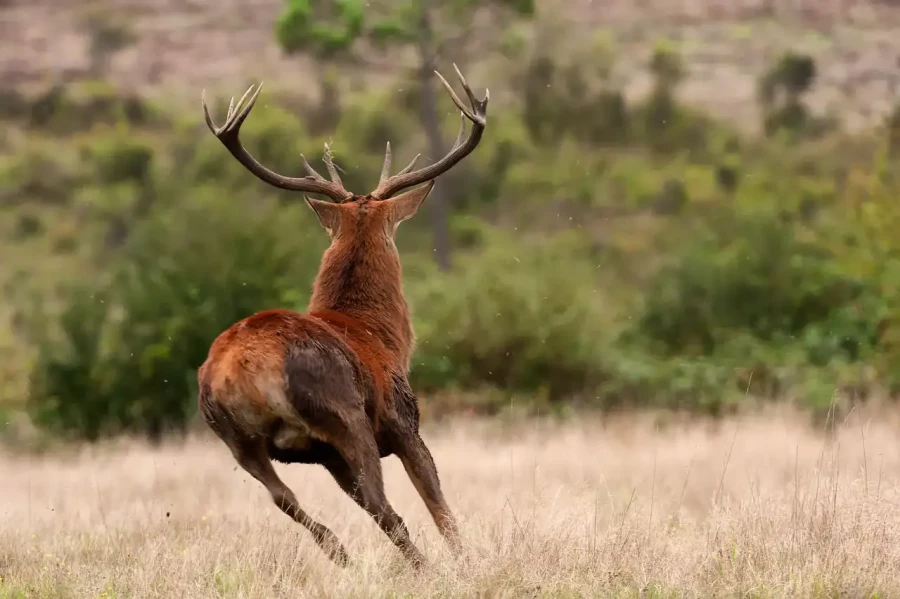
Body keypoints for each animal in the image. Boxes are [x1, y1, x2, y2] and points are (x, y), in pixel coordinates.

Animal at [195, 65, 488, 569]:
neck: (382, 337)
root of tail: (242, 371)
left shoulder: (328, 456)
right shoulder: (403, 421)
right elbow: (440, 507)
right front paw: (468, 563)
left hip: (235, 437)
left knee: (287, 498)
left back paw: (343, 556)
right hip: (343, 413)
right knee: (380, 502)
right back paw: (421, 568)